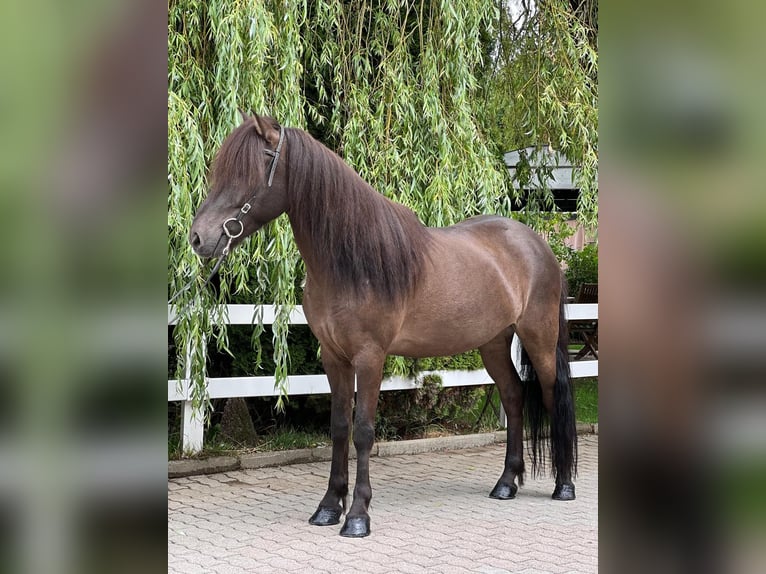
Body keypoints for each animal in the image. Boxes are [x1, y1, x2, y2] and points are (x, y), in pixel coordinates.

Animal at [189, 113, 580, 540]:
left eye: (249, 171)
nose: (198, 238)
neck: (351, 261)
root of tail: (537, 245)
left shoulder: (370, 356)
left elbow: (363, 430)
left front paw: (358, 516)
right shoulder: (334, 357)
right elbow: (339, 426)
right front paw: (329, 507)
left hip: (539, 337)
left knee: (553, 395)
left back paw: (564, 485)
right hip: (493, 342)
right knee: (512, 396)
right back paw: (506, 483)